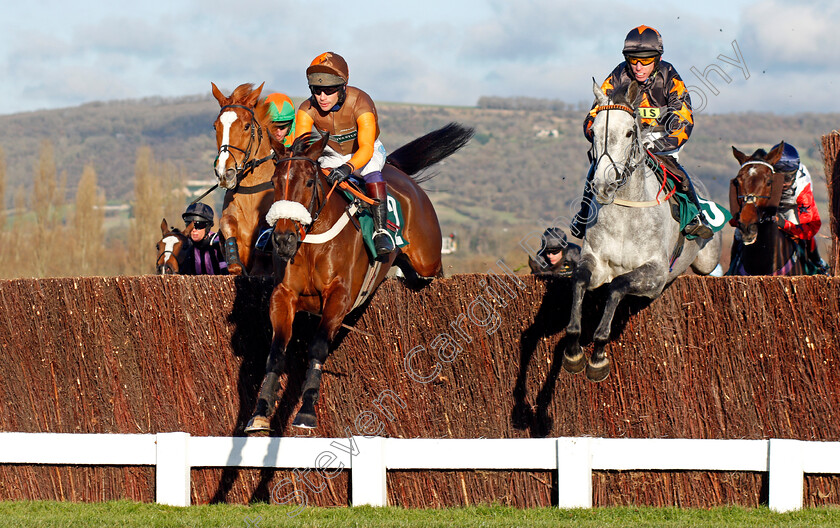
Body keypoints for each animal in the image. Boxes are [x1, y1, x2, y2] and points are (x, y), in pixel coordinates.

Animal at [212, 82, 274, 276]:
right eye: (215, 126)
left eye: (247, 126)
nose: (224, 173)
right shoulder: (230, 214)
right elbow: (226, 222)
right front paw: (233, 260)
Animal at [246, 125, 476, 434]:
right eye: (274, 181)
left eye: (309, 182)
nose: (283, 239)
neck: (312, 243)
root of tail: (398, 172)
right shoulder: (283, 295)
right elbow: (276, 351)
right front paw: (260, 412)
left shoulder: (340, 297)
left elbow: (318, 346)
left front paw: (306, 411)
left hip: (428, 262)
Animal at [568, 80, 724, 382]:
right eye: (594, 132)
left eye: (630, 132)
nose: (603, 186)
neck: (625, 211)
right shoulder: (596, 263)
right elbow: (580, 280)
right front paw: (574, 351)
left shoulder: (656, 275)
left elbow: (618, 286)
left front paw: (598, 357)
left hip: (707, 259)